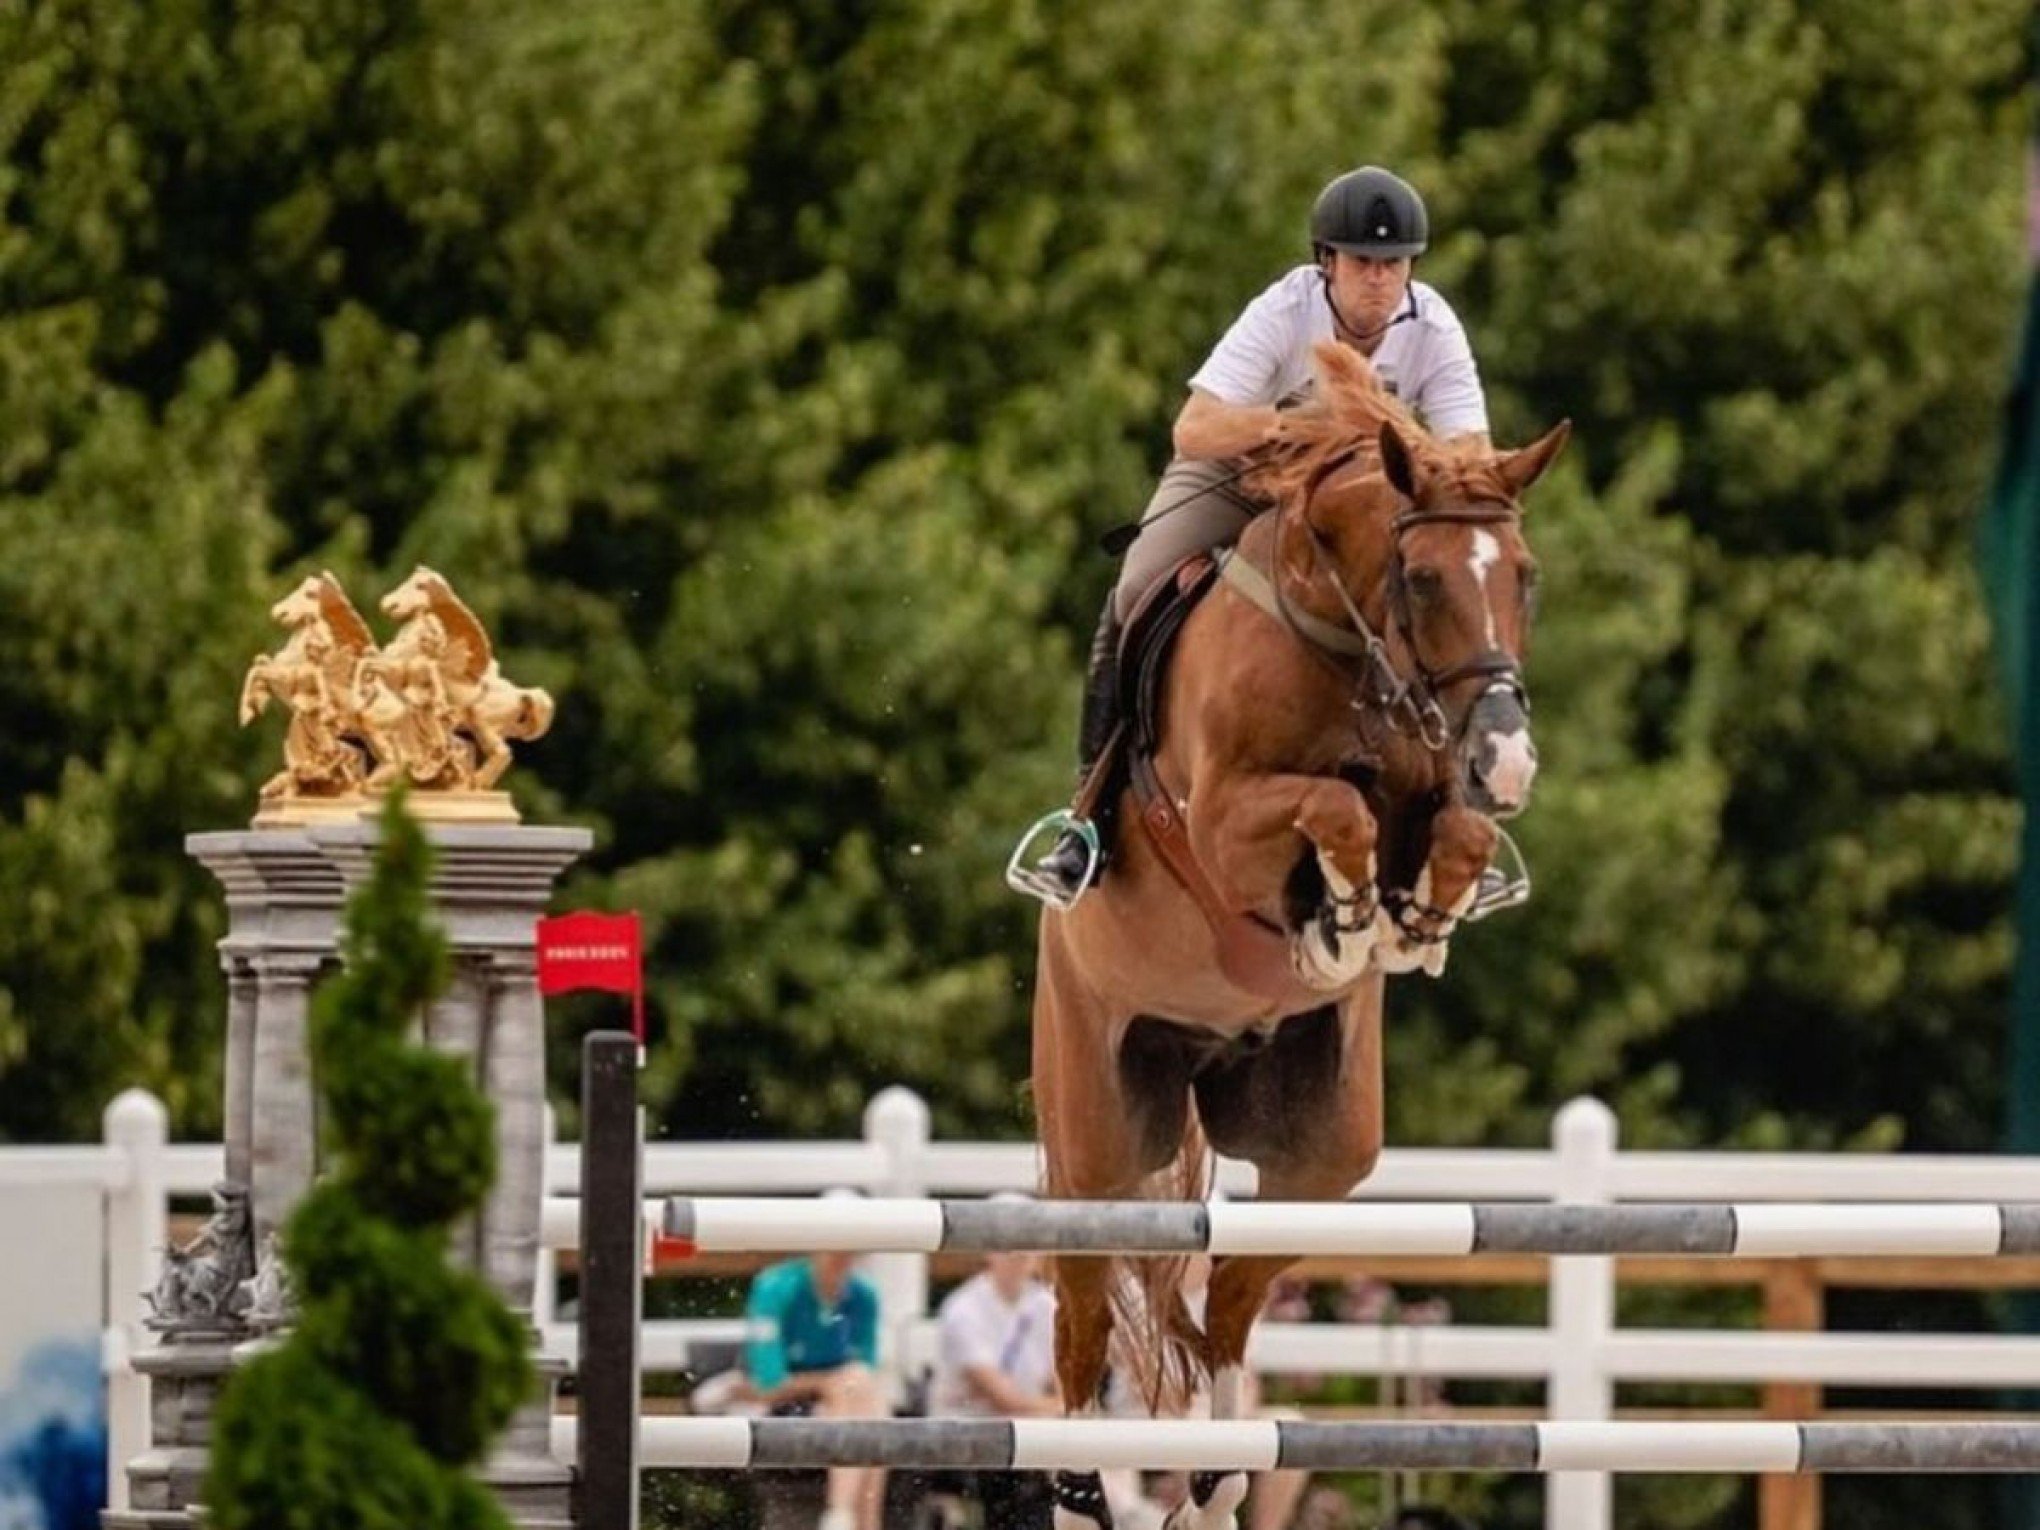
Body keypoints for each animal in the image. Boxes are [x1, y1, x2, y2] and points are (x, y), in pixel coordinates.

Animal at [1028, 346, 1566, 1530]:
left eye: (1525, 574)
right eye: (1423, 580)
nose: (1507, 758)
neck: (1350, 650)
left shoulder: (1437, 792)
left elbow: (1447, 830)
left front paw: (1407, 925)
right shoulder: (1225, 821)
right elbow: (1335, 808)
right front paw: (1348, 918)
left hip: (1321, 1145)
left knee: (1232, 1294)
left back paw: (1220, 1473)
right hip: (1098, 1131)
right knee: (1083, 1312)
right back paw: (1083, 1485)